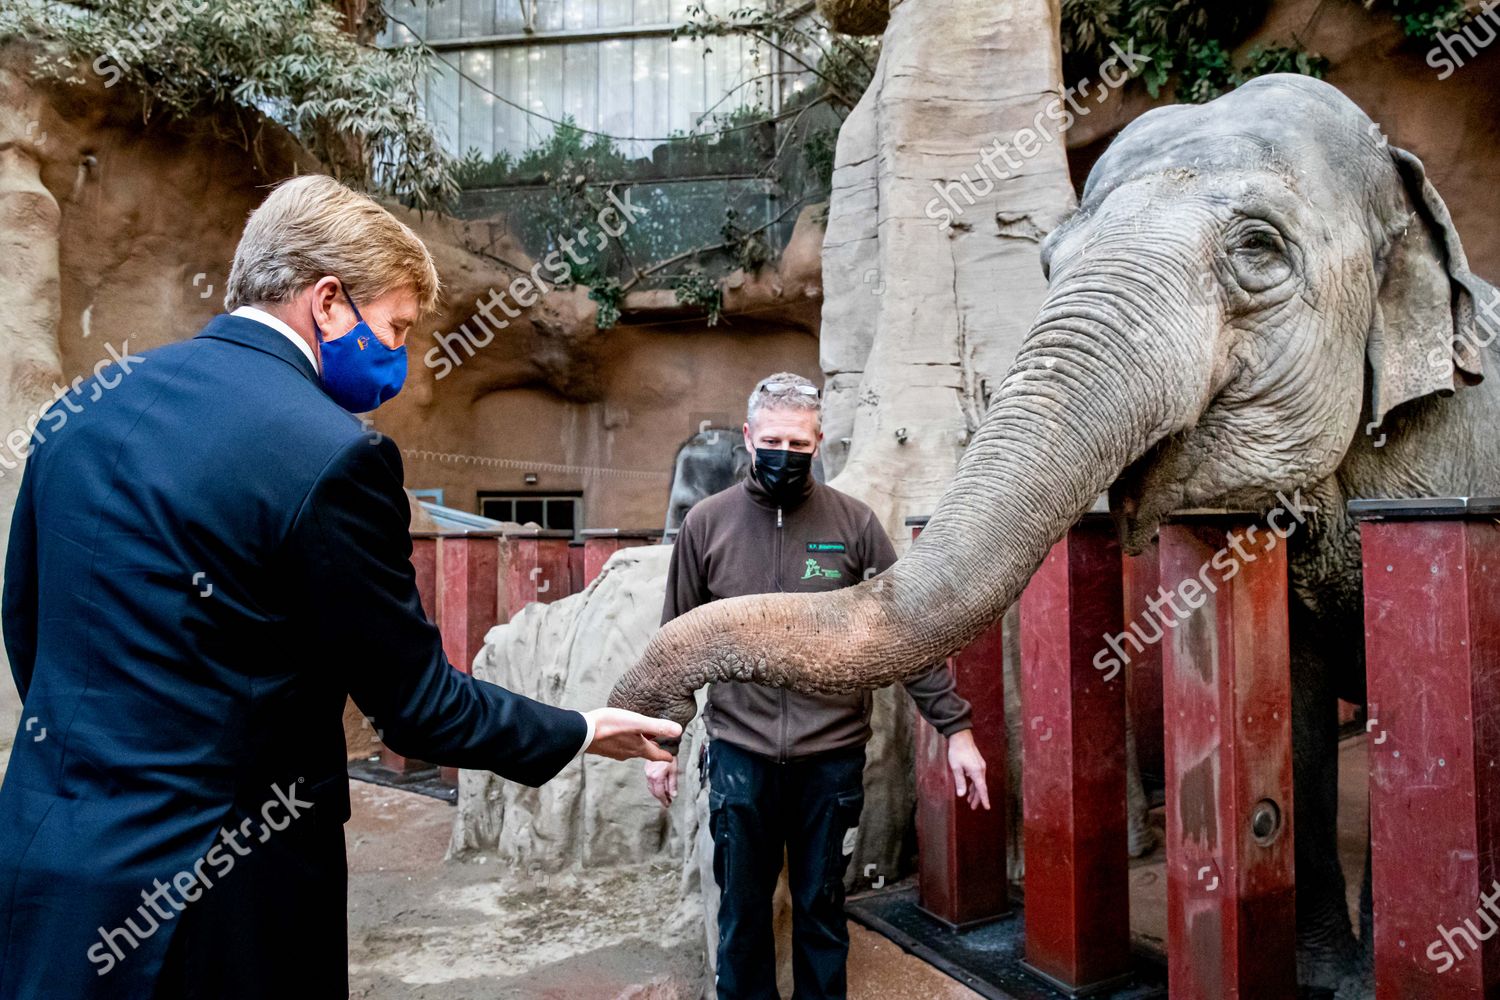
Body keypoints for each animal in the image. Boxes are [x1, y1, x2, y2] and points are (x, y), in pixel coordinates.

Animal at [609, 74, 1500, 995]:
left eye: (1260, 250)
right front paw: (1324, 969)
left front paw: (1366, 974)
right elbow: (1299, 708)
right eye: (1047, 264)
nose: (662, 725)